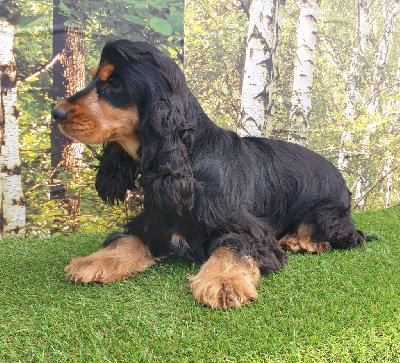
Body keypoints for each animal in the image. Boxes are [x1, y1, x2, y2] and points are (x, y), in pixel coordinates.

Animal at [52, 39, 368, 308]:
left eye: (114, 84)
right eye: (95, 78)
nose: (55, 113)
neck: (190, 161)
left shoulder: (247, 229)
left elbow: (232, 246)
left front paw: (224, 280)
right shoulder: (155, 218)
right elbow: (130, 238)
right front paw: (94, 261)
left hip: (327, 213)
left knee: (348, 234)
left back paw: (301, 241)